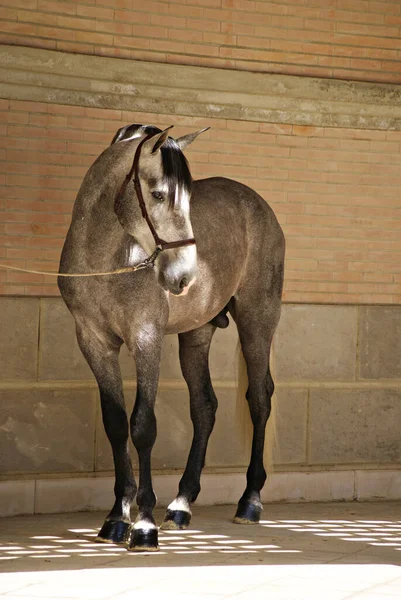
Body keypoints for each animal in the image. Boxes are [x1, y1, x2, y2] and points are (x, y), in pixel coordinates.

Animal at [58, 123, 284, 552]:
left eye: (188, 199)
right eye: (159, 194)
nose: (184, 276)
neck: (107, 262)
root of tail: (259, 204)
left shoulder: (146, 338)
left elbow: (143, 425)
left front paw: (144, 524)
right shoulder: (93, 342)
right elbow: (116, 424)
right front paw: (117, 517)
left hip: (258, 320)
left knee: (260, 399)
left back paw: (249, 501)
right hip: (197, 334)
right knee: (205, 406)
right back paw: (181, 503)